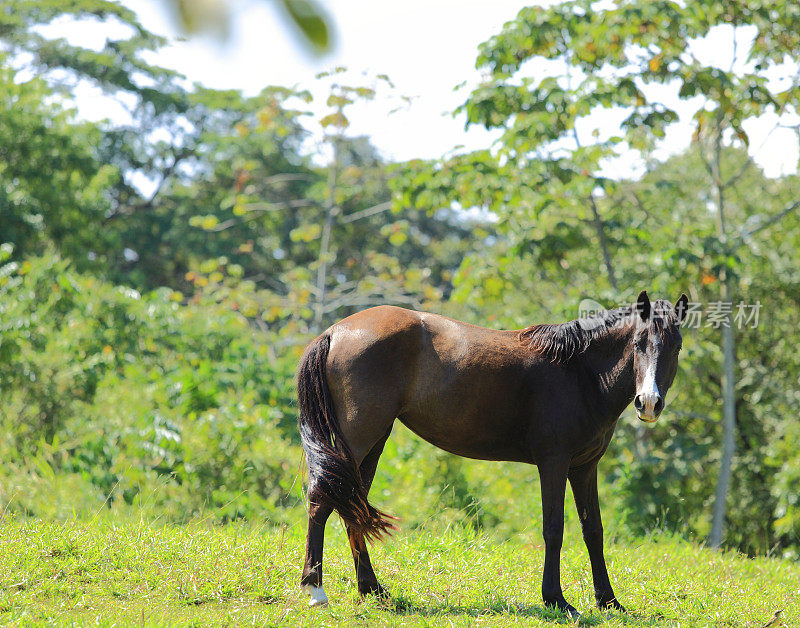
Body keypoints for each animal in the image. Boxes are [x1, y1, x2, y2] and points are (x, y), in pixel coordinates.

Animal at [296, 292, 684, 616]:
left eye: (676, 347)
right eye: (638, 344)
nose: (649, 403)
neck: (579, 372)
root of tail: (335, 331)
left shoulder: (585, 467)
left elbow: (594, 530)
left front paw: (609, 601)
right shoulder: (554, 463)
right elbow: (554, 528)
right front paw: (556, 600)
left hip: (371, 443)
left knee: (353, 506)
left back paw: (373, 590)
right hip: (358, 438)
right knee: (321, 499)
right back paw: (316, 590)